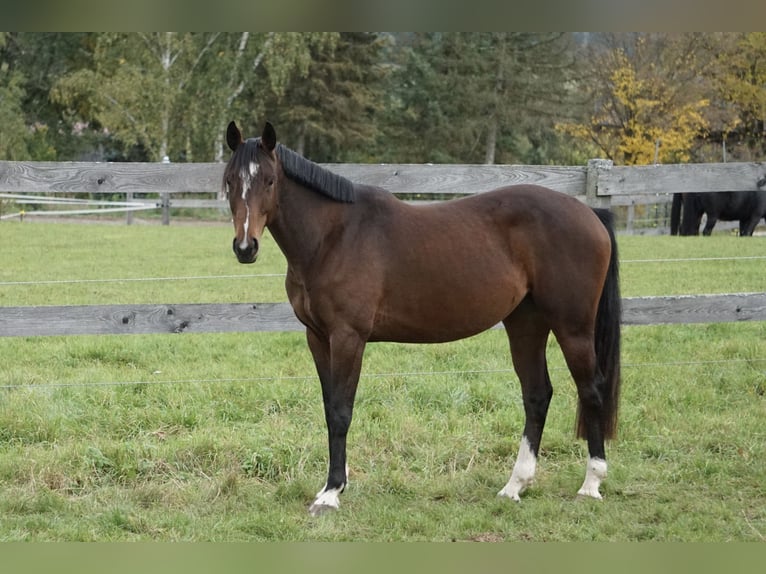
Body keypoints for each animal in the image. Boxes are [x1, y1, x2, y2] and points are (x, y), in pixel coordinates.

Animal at [221, 121, 622, 516]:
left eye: (268, 180)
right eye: (229, 181)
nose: (245, 247)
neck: (333, 236)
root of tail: (590, 215)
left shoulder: (348, 337)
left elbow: (340, 411)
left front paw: (331, 493)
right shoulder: (317, 338)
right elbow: (328, 407)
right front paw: (335, 484)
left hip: (573, 328)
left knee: (591, 390)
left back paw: (591, 484)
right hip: (526, 324)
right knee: (537, 395)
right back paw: (514, 486)